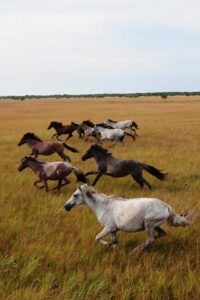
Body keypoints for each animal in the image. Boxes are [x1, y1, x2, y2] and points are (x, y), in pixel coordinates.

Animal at [64, 185, 194, 253]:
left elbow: (97, 238)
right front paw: (115, 247)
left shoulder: (108, 227)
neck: (103, 206)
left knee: (150, 239)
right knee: (161, 234)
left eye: (75, 195)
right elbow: (114, 242)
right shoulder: (113, 230)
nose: (66, 206)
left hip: (149, 224)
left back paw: (135, 251)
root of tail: (167, 206)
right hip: (155, 225)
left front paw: (109, 244)